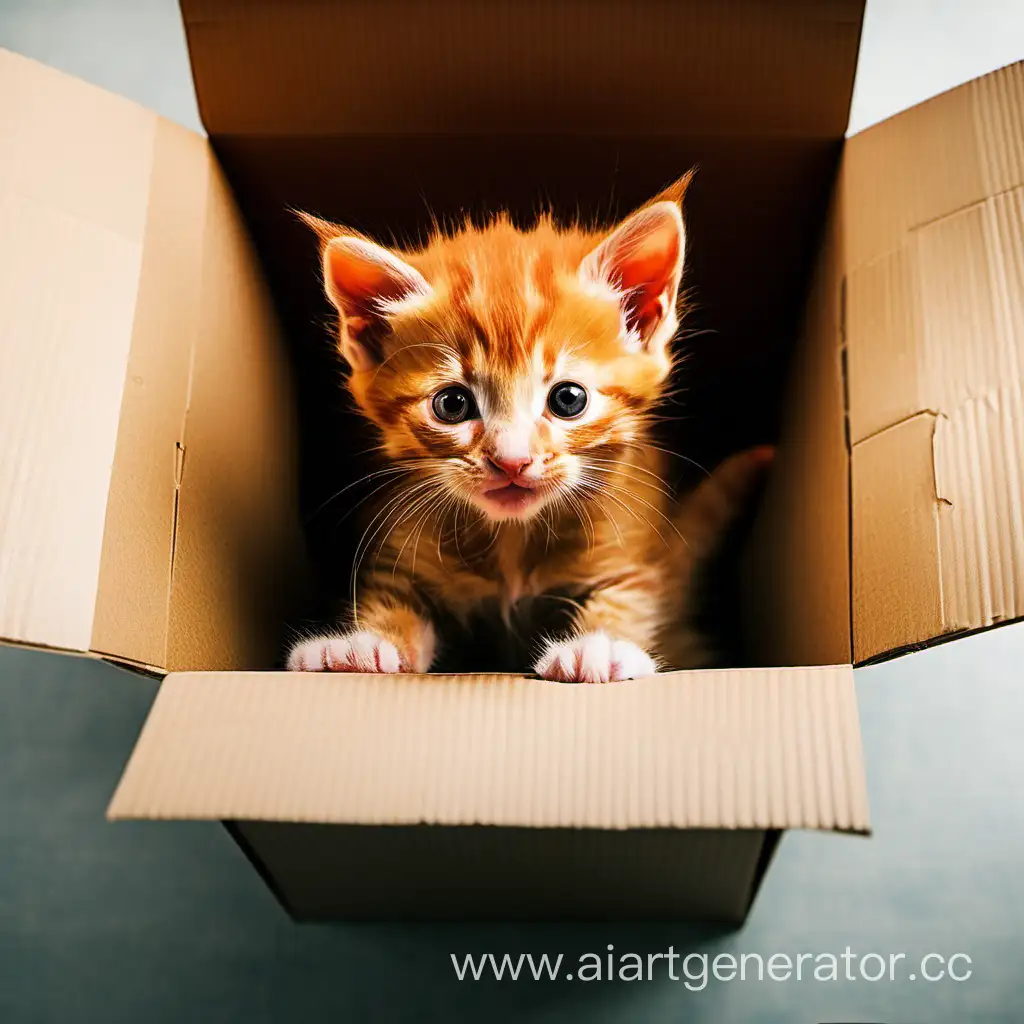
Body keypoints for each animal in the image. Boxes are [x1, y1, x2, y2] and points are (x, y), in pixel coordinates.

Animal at [286, 178, 770, 679]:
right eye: (452, 404)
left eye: (568, 399)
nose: (512, 461)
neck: (512, 540)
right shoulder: (398, 543)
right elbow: (392, 598)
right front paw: (362, 644)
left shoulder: (635, 542)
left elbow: (631, 594)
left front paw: (600, 645)